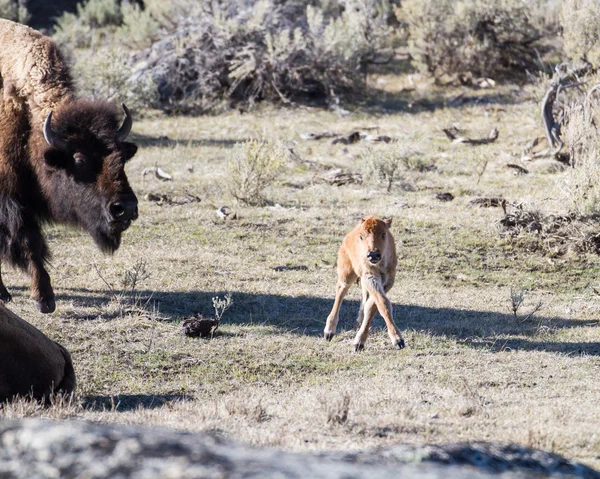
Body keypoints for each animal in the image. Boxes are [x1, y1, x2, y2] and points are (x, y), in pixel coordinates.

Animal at [0, 18, 138, 314]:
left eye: (121, 158)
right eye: (79, 160)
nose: (125, 208)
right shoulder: (9, 199)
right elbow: (28, 240)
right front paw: (44, 299)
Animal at [324, 216, 404, 350]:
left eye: (383, 234)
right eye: (361, 236)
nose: (373, 254)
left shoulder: (388, 281)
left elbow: (373, 306)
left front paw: (359, 341)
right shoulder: (369, 276)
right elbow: (382, 303)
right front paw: (398, 340)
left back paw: (360, 319)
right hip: (347, 273)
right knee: (341, 291)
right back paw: (329, 332)